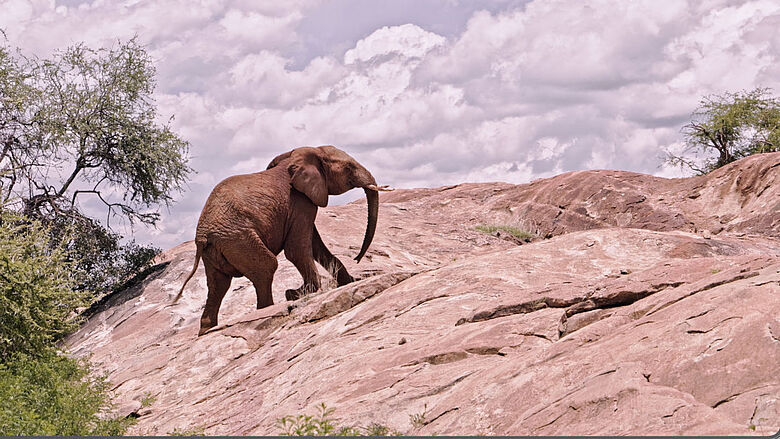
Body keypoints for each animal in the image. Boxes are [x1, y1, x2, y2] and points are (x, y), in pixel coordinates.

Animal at [174, 145, 391, 335]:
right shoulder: (300, 201)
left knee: (218, 284)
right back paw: (266, 311)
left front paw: (352, 282)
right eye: (349, 169)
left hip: (218, 248)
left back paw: (206, 330)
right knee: (266, 267)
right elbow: (297, 249)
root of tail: (202, 236)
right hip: (238, 239)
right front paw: (298, 293)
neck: (302, 154)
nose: (357, 259)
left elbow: (316, 246)